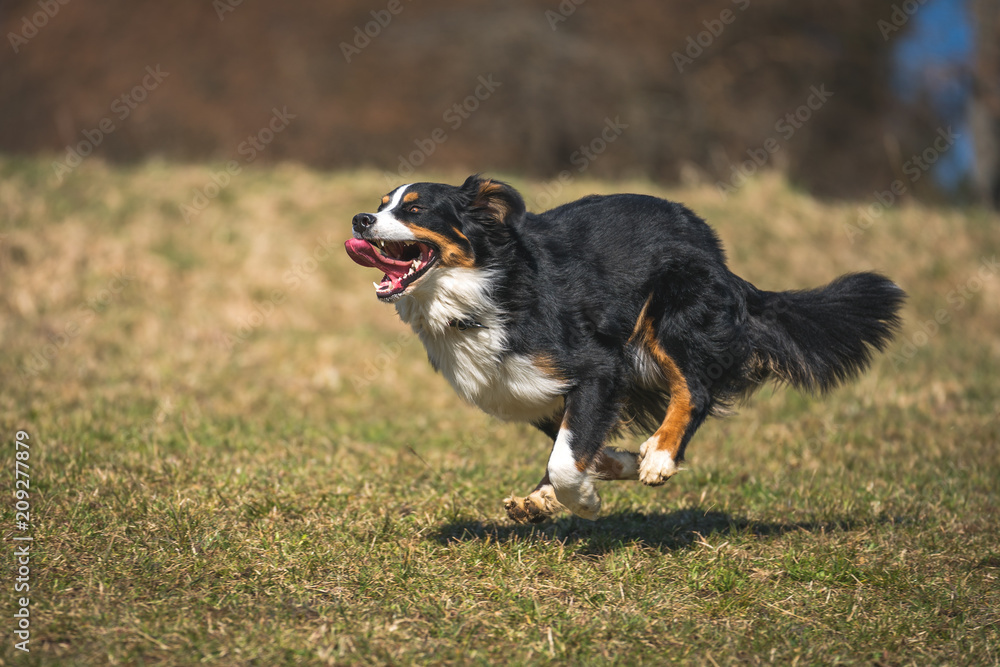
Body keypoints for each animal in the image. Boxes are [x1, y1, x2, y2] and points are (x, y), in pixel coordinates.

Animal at [346, 176, 908, 520]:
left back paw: (659, 456)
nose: (359, 220)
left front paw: (585, 499)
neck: (484, 287)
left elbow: (567, 457)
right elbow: (576, 443)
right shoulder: (524, 390)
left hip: (671, 315)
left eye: (415, 209)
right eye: (381, 204)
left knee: (696, 388)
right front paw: (599, 471)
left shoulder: (597, 366)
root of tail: (715, 249)